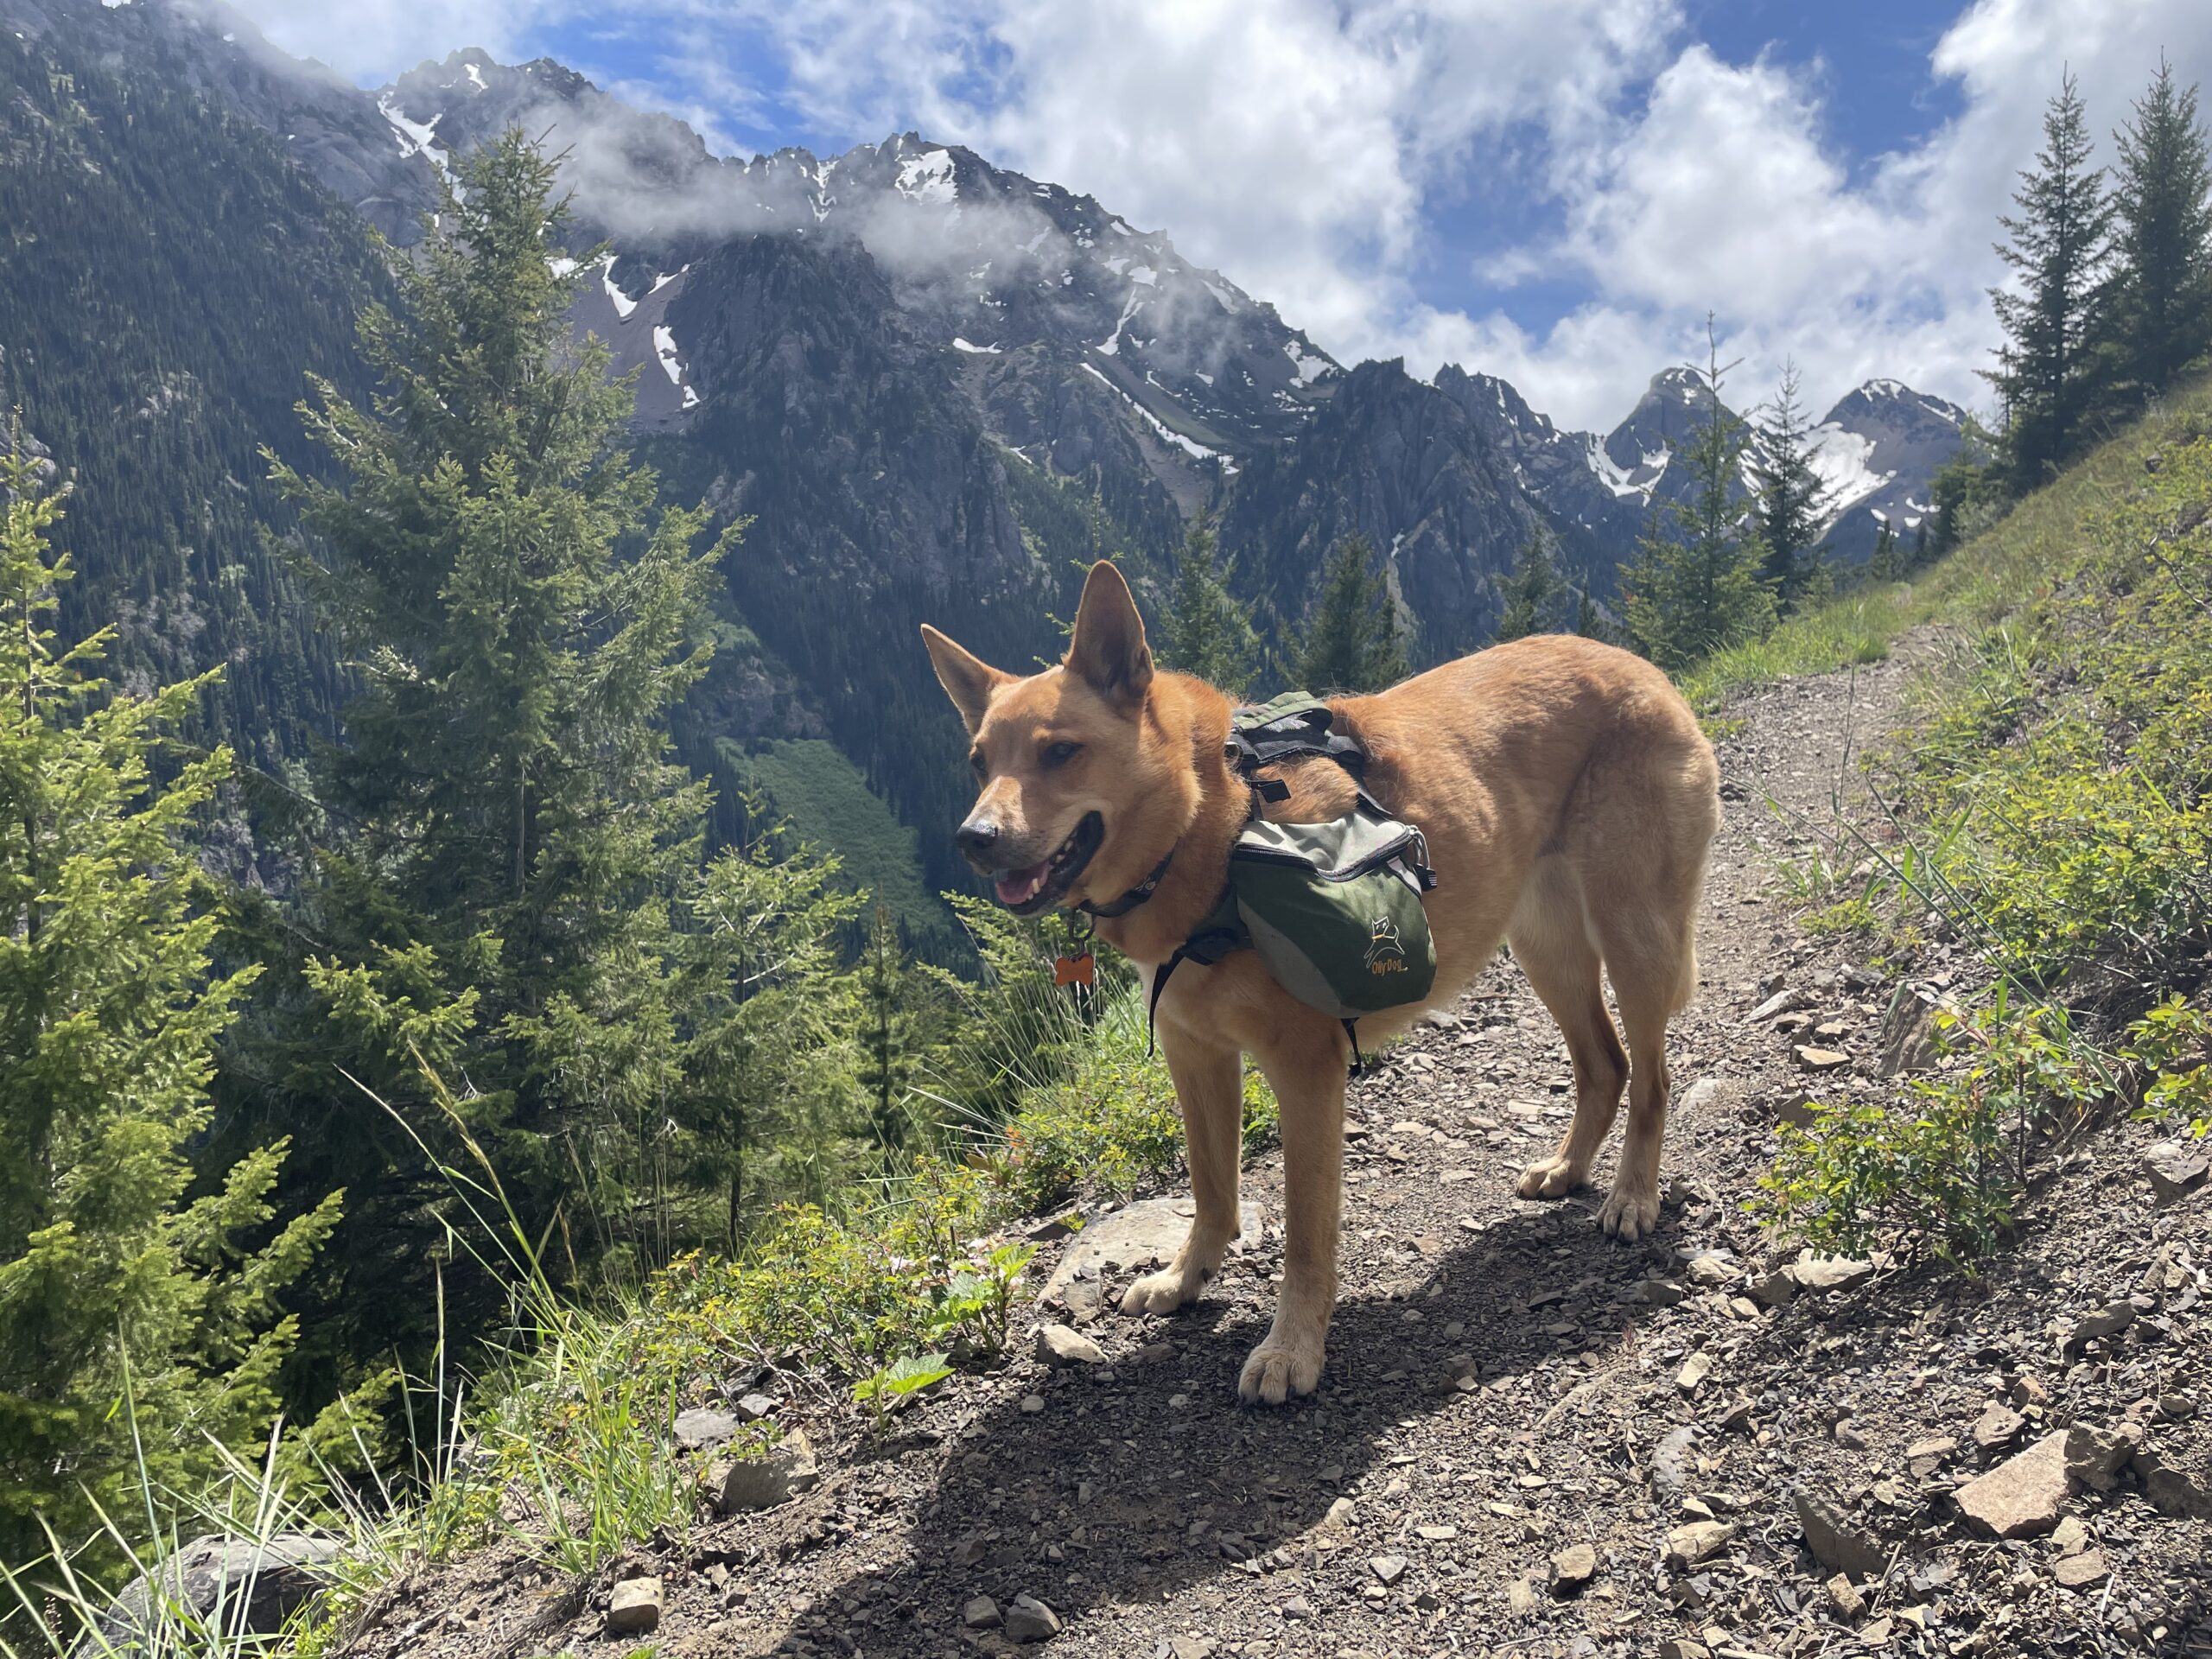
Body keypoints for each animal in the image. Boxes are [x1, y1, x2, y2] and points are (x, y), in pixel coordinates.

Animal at [925, 562, 1716, 1407]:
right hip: (1546, 949)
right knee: (1606, 1065)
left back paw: (1632, 1195)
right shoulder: (1196, 1056)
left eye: (1061, 752)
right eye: (978, 764)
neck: (1212, 824)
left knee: (1653, 1079)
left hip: (1635, 936)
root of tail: (1638, 664)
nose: (972, 839)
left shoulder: (1305, 1072)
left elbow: (1306, 1232)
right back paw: (1568, 1169)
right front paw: (1185, 1279)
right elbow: (1212, 1189)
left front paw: (1291, 1348)